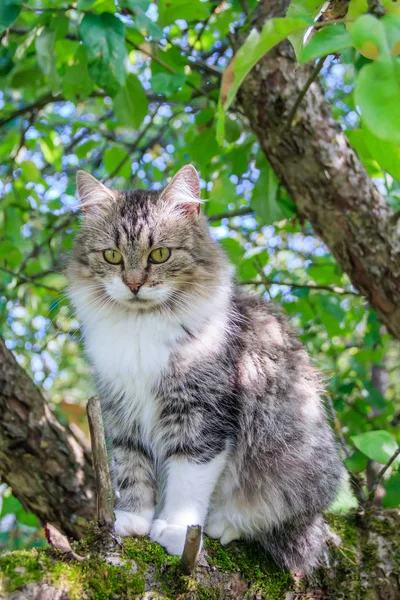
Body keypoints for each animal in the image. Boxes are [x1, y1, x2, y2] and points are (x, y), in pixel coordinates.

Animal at [69, 163, 344, 572]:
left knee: (276, 519)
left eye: (160, 254)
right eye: (113, 256)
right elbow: (132, 470)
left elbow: (187, 480)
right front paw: (133, 520)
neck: (141, 327)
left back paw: (224, 524)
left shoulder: (201, 413)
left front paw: (175, 529)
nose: (133, 285)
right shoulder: (122, 411)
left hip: (297, 466)